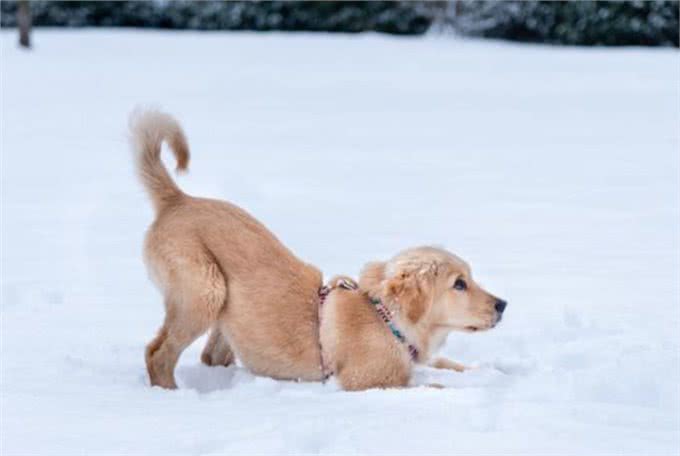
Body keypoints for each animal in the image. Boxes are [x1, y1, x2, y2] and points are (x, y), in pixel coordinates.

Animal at [130, 111, 508, 392]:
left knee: (211, 356)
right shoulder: (367, 380)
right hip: (206, 290)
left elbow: (450, 364)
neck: (387, 318)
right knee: (157, 353)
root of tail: (178, 199)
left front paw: (494, 373)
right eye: (459, 284)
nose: (503, 305)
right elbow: (431, 385)